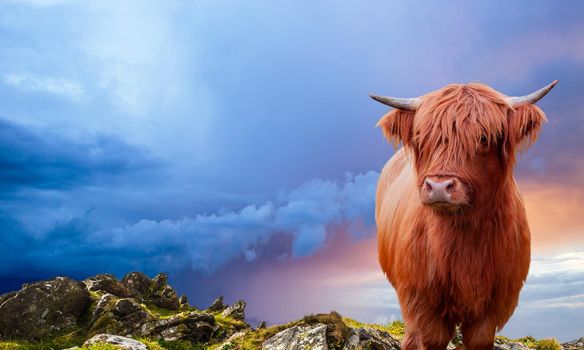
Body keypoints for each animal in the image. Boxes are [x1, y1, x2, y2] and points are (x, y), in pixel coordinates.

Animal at [372, 80, 560, 348]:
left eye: (483, 137)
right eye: (422, 138)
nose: (439, 186)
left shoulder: (495, 306)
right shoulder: (420, 300)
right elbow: (431, 339)